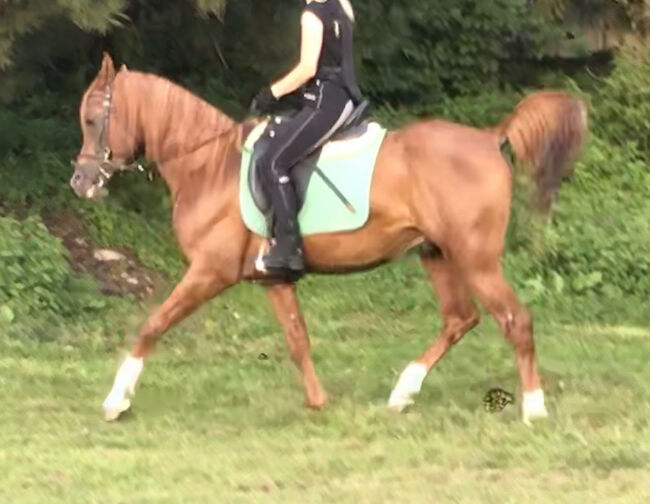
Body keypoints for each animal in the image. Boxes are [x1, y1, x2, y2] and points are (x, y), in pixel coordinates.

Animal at [71, 54, 588, 426]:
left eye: (94, 119)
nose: (81, 182)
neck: (209, 166)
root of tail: (487, 137)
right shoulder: (273, 279)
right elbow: (297, 338)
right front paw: (319, 402)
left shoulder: (208, 272)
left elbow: (151, 325)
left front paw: (116, 401)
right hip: (436, 254)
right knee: (460, 319)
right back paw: (403, 393)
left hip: (477, 260)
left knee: (515, 321)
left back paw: (533, 408)